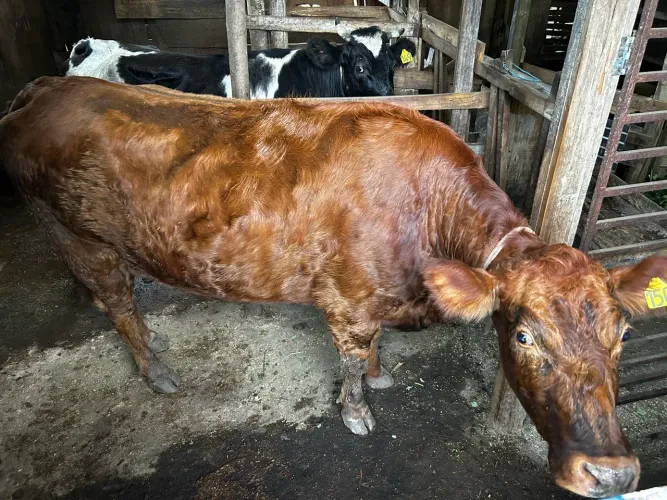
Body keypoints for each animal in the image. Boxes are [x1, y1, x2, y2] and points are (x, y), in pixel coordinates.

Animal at [2, 76, 661, 498]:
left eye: (625, 333)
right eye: (524, 337)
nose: (611, 474)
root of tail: (48, 87)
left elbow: (372, 350)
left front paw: (379, 372)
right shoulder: (348, 299)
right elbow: (348, 358)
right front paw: (358, 410)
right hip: (73, 233)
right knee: (118, 305)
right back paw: (157, 369)